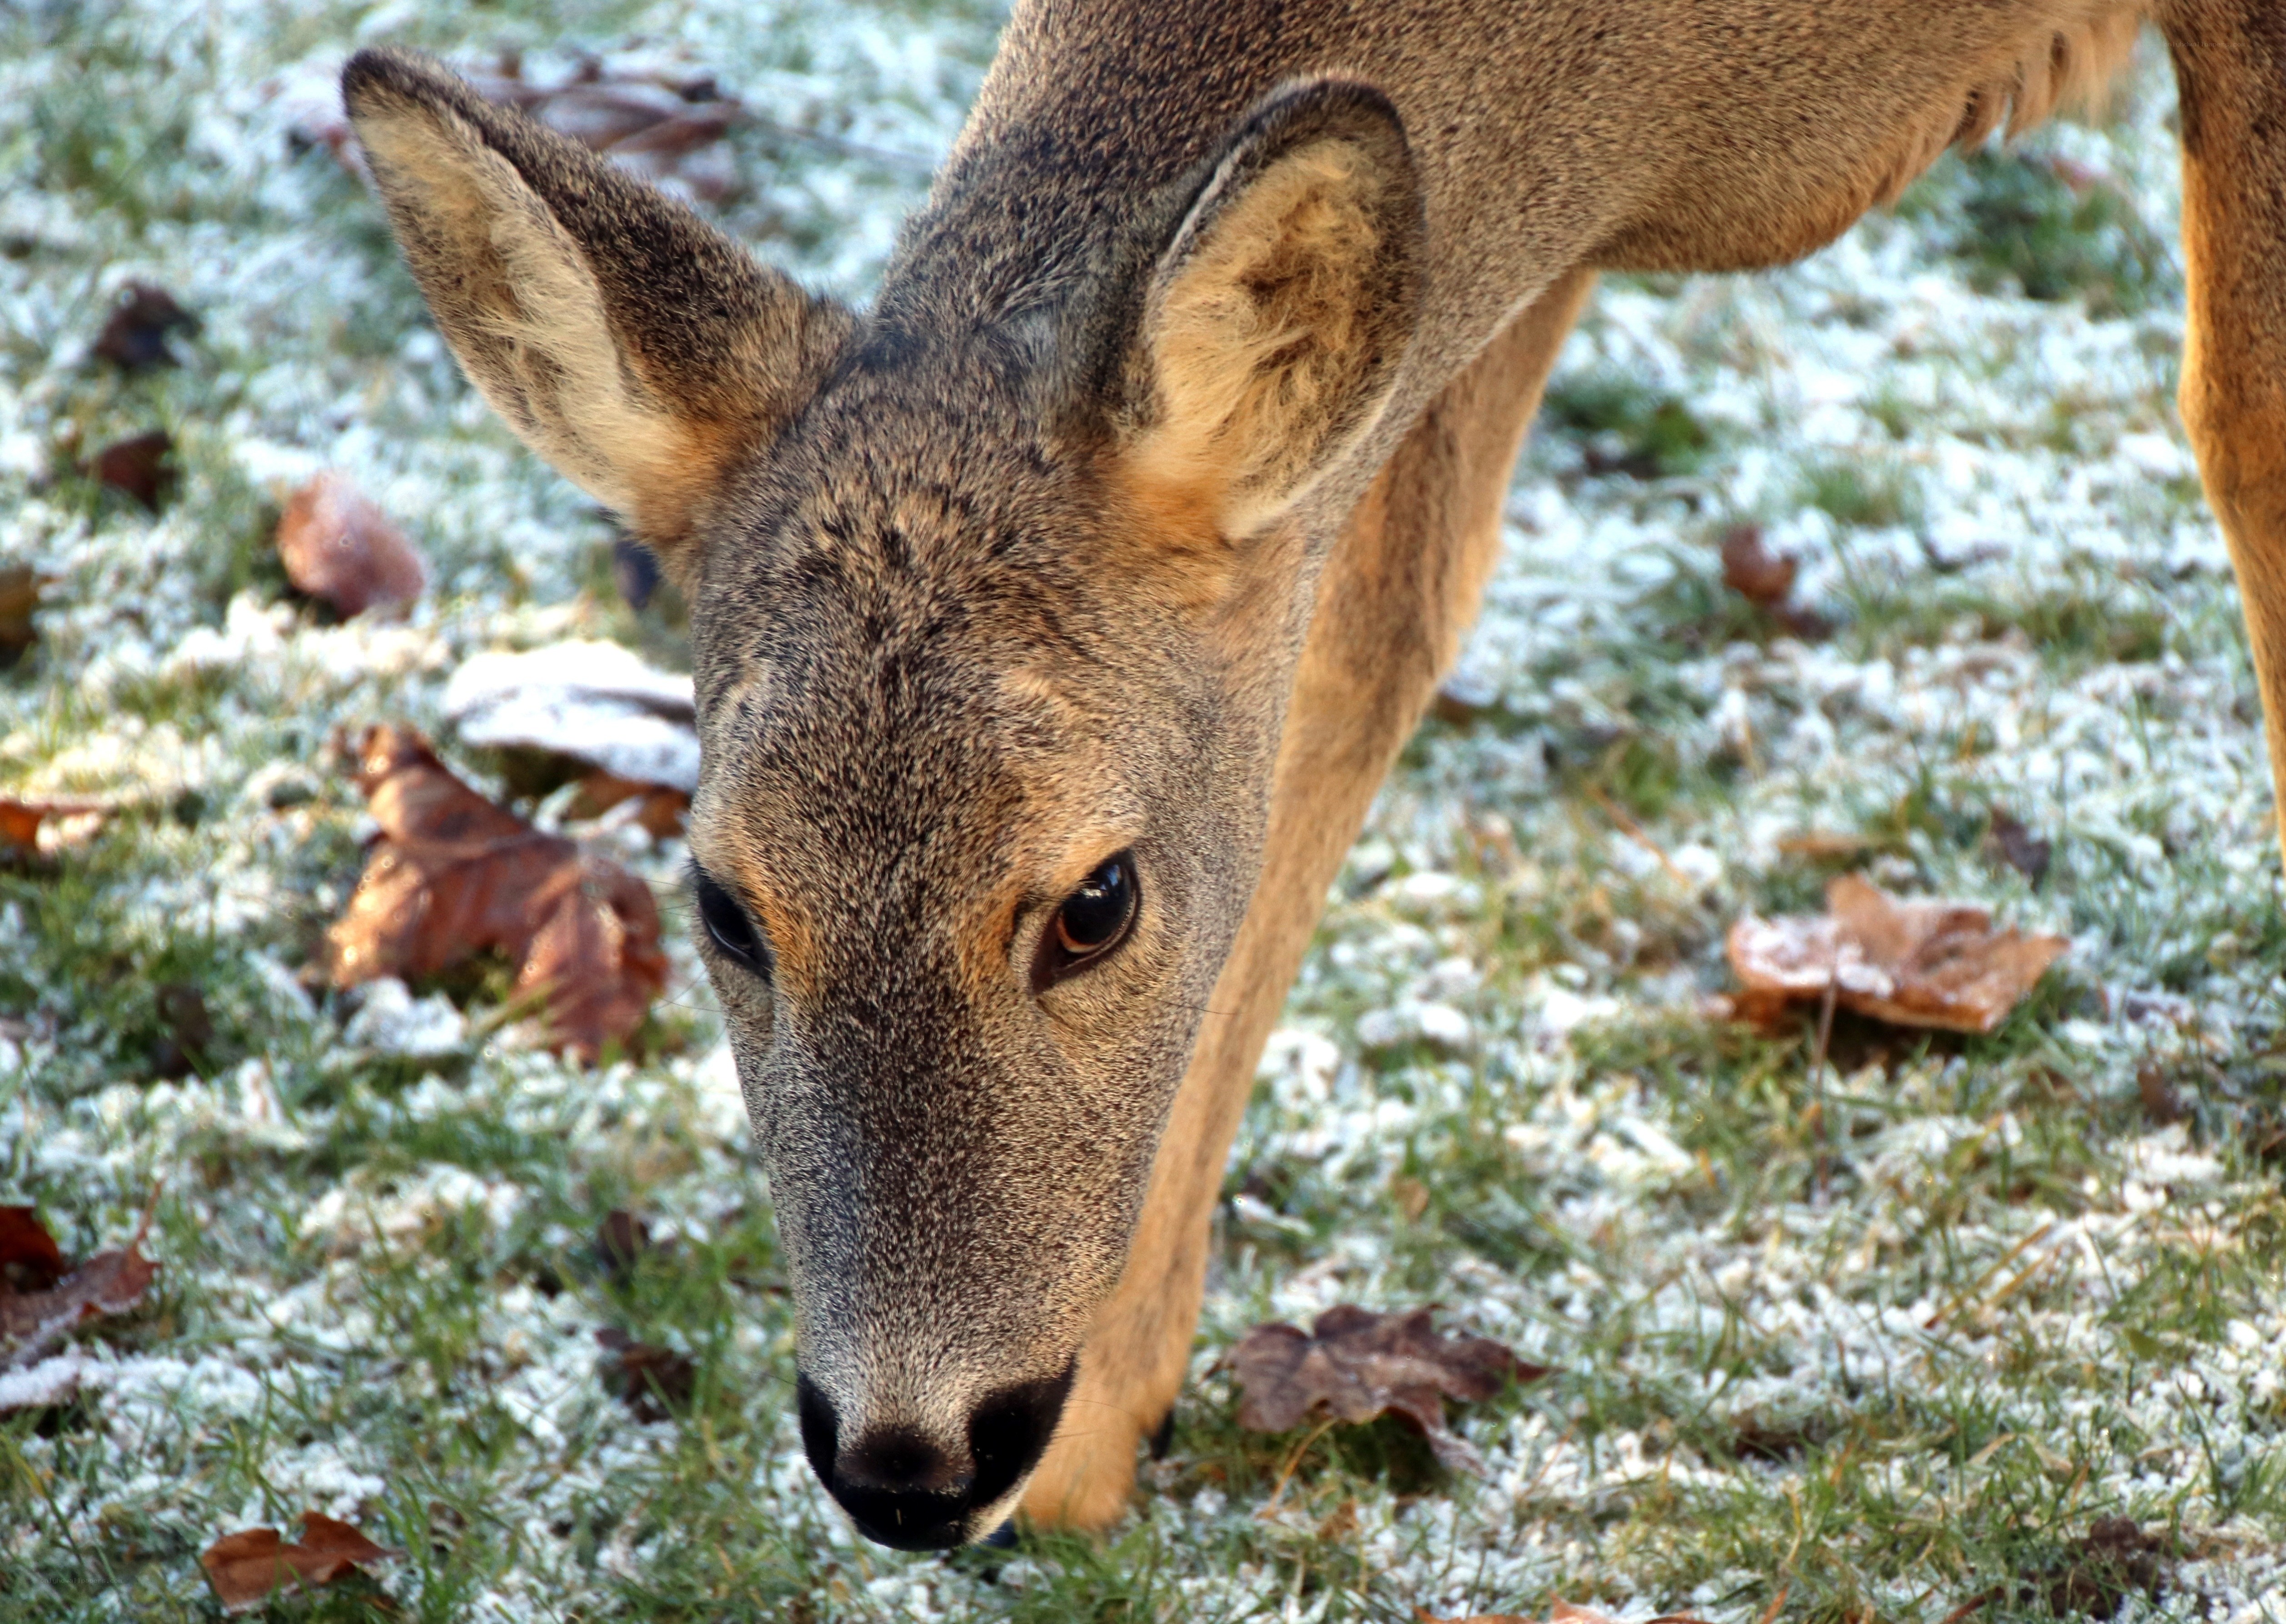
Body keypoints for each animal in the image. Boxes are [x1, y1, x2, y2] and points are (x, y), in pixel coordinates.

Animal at [339, 0, 2286, 1550]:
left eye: (1095, 899)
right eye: (725, 904)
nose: (908, 1458)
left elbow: (2242, 427)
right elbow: (1370, 646)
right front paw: (1099, 1439)